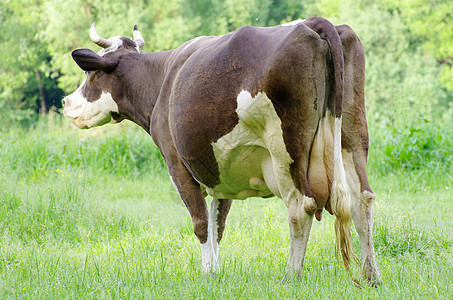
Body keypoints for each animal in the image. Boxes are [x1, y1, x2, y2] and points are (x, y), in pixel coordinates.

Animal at [61, 17, 380, 284]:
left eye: (90, 73)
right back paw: (371, 275)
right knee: (361, 199)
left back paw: (291, 276)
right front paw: (215, 270)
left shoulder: (177, 165)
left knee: (301, 207)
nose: (65, 102)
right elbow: (218, 224)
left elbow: (202, 223)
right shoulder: (222, 171)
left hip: (287, 150)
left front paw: (206, 272)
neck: (160, 80)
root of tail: (315, 22)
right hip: (352, 135)